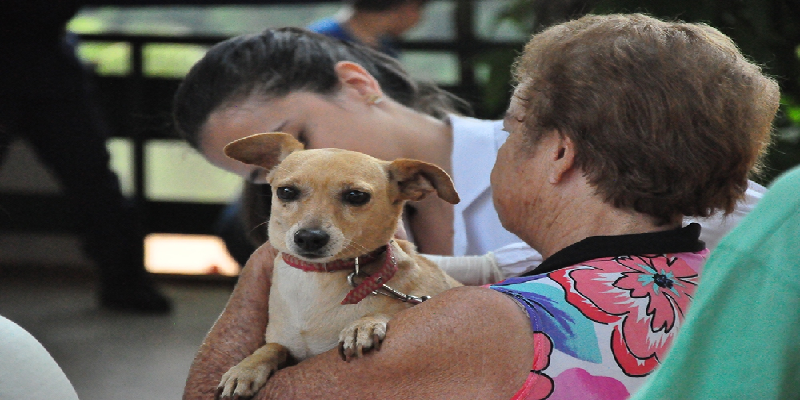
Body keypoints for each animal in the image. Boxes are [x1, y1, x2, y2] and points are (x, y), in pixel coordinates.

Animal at [217, 133, 462, 398]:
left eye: (356, 196)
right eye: (286, 191)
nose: (309, 237)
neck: (319, 279)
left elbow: (393, 309)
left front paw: (363, 325)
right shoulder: (288, 348)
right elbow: (273, 347)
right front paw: (245, 369)